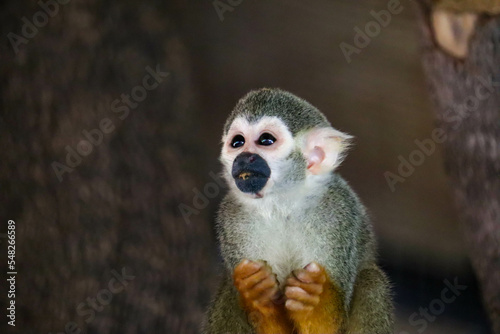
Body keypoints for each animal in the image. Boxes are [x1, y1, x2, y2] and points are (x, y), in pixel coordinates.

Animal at [203, 88, 394, 334]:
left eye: (266, 140)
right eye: (238, 142)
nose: (243, 158)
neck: (282, 205)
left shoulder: (337, 212)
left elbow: (333, 324)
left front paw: (313, 300)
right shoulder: (232, 219)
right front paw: (258, 294)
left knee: (372, 281)